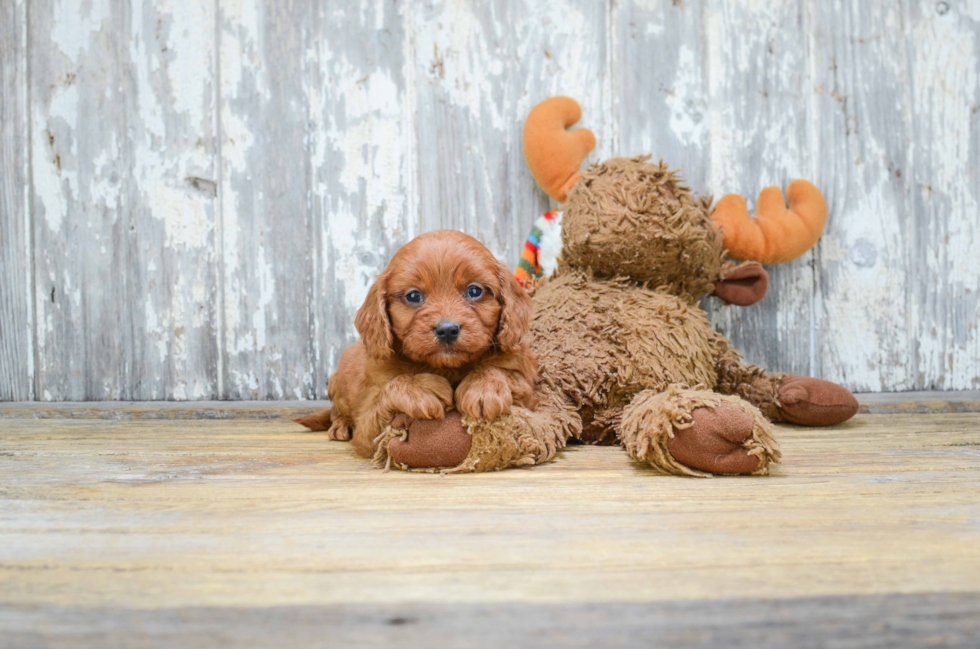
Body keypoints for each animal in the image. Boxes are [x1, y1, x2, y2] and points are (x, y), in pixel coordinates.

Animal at [298, 230, 540, 458]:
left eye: (474, 291)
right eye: (414, 296)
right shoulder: (367, 427)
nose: (447, 330)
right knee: (336, 411)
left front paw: (483, 387)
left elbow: (504, 373)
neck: (447, 368)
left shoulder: (526, 385)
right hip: (336, 382)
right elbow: (391, 389)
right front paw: (421, 387)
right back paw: (340, 426)